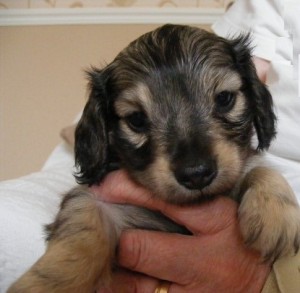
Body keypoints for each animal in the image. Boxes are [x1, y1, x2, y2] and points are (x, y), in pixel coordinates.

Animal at [7, 24, 300, 290]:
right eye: (136, 120)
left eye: (225, 99)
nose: (196, 174)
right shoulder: (97, 198)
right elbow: (80, 229)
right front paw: (47, 283)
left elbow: (259, 166)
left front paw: (275, 213)